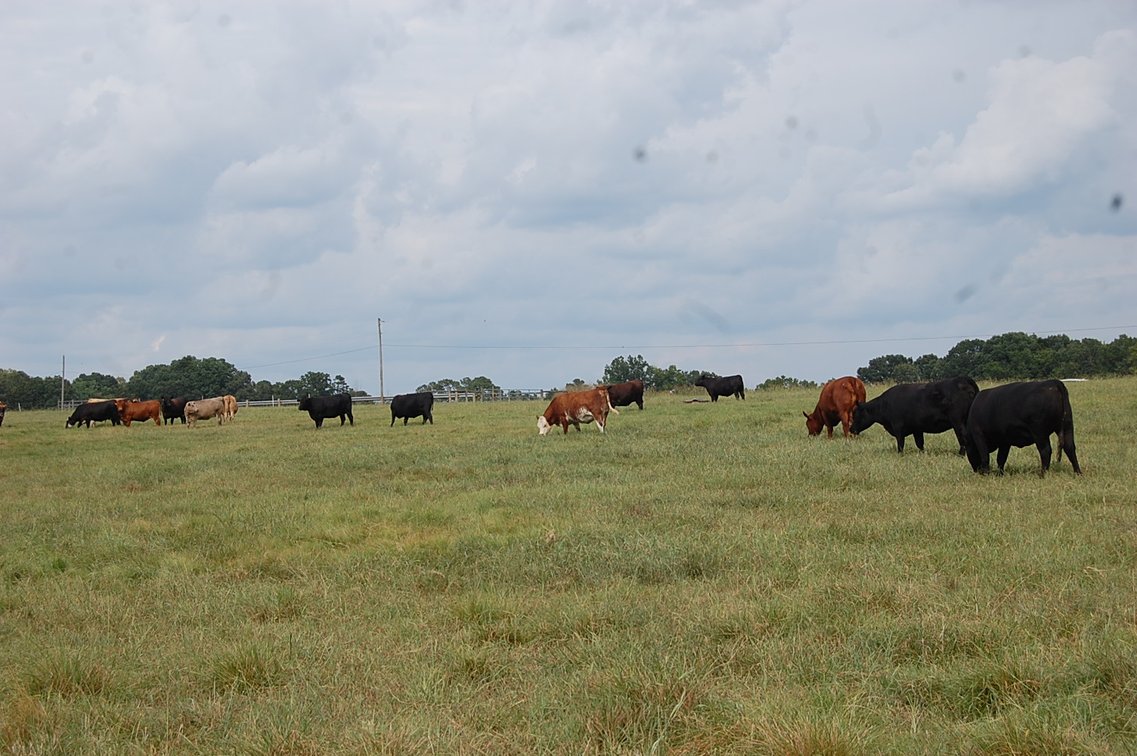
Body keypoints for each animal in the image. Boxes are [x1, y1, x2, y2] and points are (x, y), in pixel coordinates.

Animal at [850, 377, 979, 454]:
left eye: (856, 414)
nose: (851, 429)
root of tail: (963, 379)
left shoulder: (898, 426)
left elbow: (900, 443)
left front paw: (900, 454)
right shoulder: (917, 429)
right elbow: (919, 443)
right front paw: (922, 453)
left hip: (958, 422)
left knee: (963, 437)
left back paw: (961, 454)